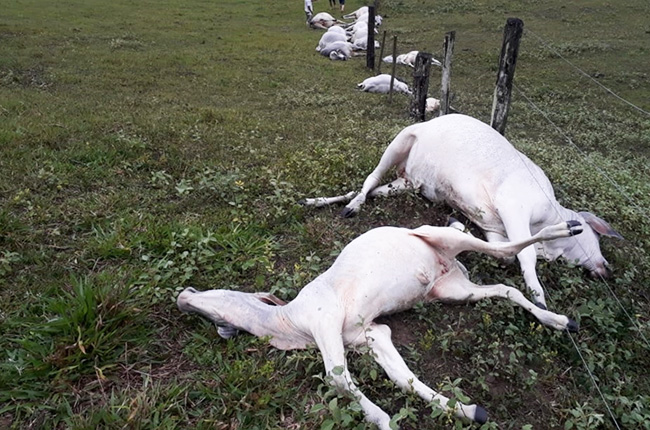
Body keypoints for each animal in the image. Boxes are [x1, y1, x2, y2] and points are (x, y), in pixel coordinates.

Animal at [175, 222, 580, 430]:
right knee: (504, 288)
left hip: (442, 237)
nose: (183, 294)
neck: (292, 323)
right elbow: (402, 377)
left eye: (212, 293)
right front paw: (470, 411)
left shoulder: (324, 321)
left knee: (503, 249)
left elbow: (337, 378)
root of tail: (449, 263)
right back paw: (562, 320)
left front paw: (382, 420)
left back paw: (570, 227)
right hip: (451, 290)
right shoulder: (368, 334)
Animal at [302, 114, 620, 310]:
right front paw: (538, 295)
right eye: (596, 235)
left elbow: (506, 253)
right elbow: (525, 255)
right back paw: (349, 207)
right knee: (370, 179)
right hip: (399, 142)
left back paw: (317, 201)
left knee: (373, 189)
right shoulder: (514, 205)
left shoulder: (494, 228)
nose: (607, 268)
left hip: (406, 183)